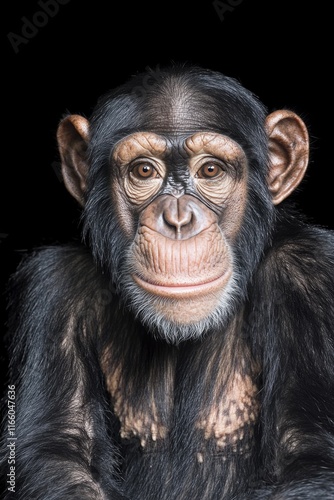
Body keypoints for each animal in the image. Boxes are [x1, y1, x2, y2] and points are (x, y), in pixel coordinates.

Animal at [0, 64, 334, 498]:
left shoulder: (312, 278)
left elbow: (312, 457)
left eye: (210, 170)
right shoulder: (55, 287)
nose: (177, 220)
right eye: (144, 170)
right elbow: (59, 449)